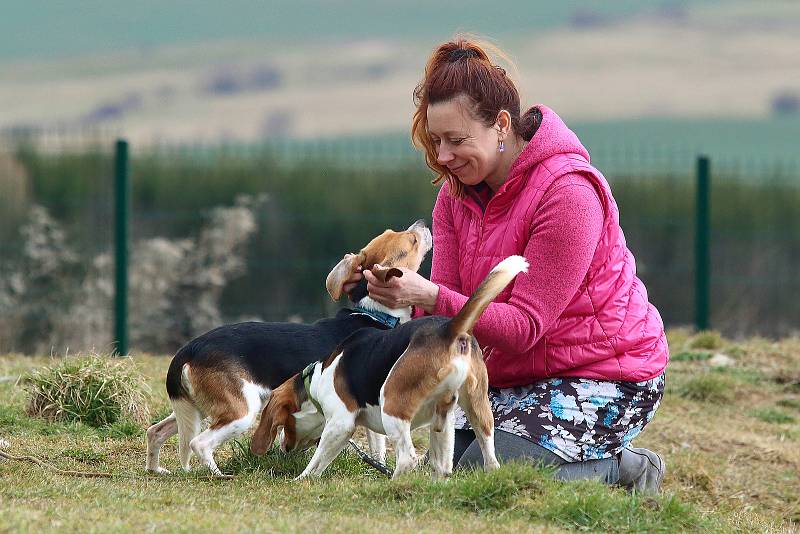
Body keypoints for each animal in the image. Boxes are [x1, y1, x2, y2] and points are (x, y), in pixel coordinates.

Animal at [144, 220, 432, 480]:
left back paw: (155, 469)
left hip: (195, 408)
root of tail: (189, 349)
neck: (376, 313)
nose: (423, 223)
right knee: (199, 443)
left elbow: (377, 445)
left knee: (155, 432)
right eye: (412, 241)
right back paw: (219, 475)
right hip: (241, 411)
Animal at [253, 255, 528, 482]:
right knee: (475, 461)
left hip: (393, 403)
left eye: (284, 424)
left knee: (407, 459)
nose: (283, 449)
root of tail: (448, 330)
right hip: (465, 412)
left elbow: (318, 461)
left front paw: (299, 480)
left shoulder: (341, 423)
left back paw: (393, 485)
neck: (317, 378)